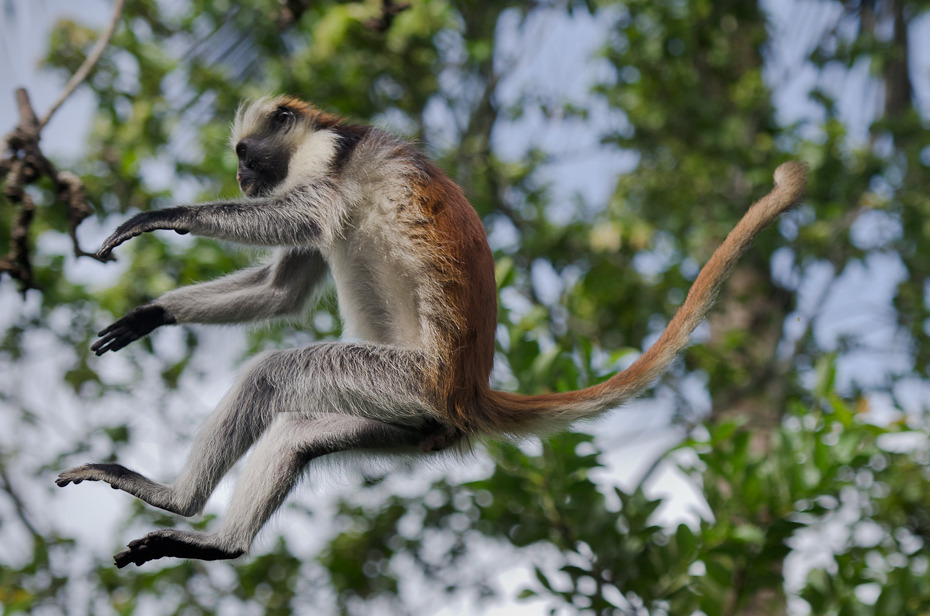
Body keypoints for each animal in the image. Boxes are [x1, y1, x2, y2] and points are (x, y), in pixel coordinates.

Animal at [54, 95, 804, 568]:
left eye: (246, 152)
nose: (239, 175)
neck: (338, 132)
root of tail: (467, 391)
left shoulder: (330, 161)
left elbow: (298, 220)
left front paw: (162, 215)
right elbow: (282, 290)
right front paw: (149, 314)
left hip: (400, 379)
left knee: (274, 374)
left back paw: (181, 504)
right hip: (401, 416)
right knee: (297, 433)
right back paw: (217, 539)